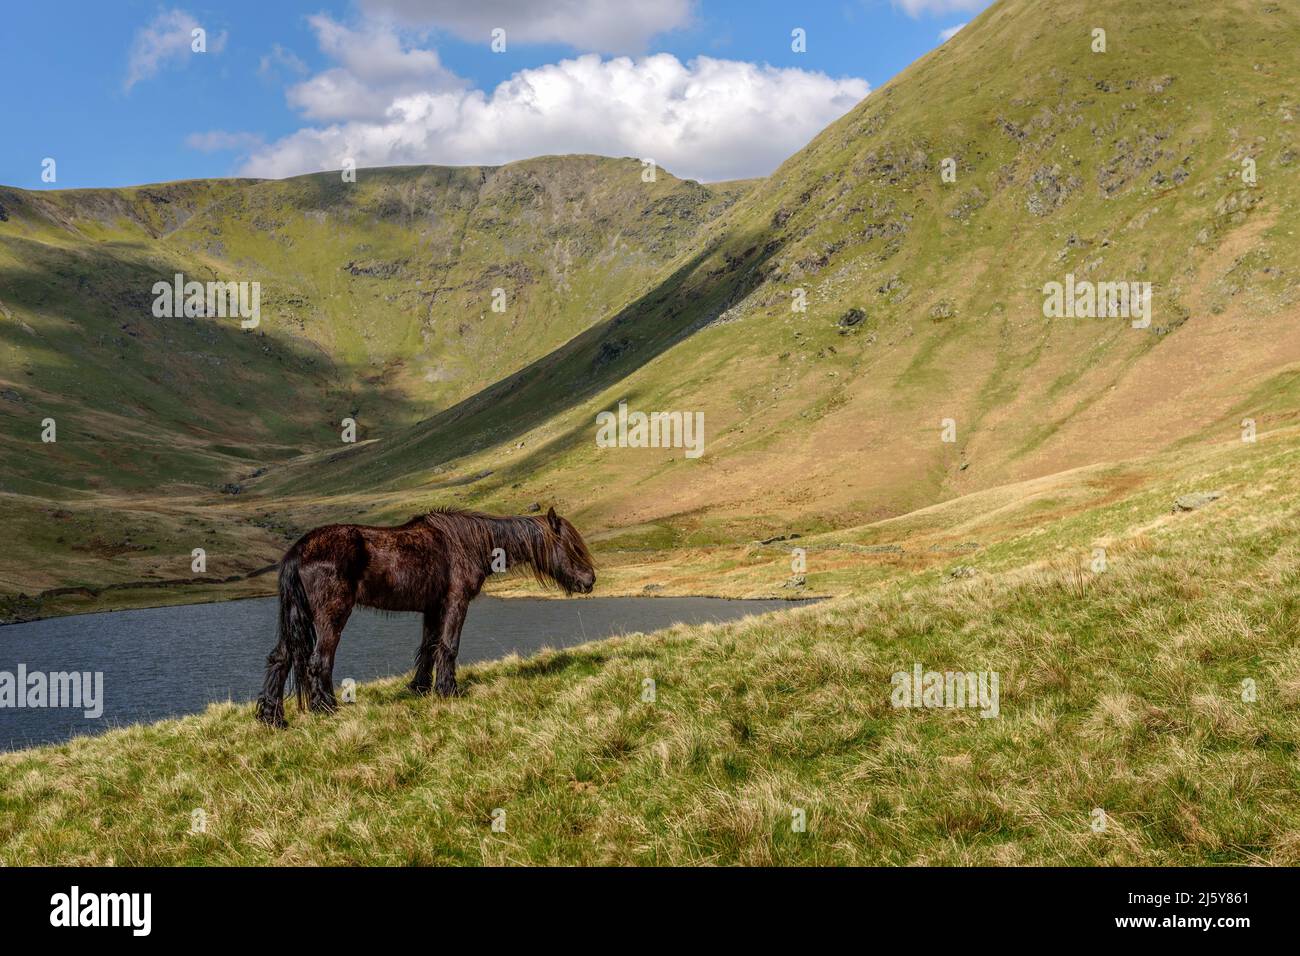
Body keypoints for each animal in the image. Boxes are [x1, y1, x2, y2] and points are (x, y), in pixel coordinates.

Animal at [254, 509, 598, 723]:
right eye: (571, 547)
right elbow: (448, 646)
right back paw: (326, 709)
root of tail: (297, 550)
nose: (590, 581)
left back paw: (272, 717)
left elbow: (429, 649)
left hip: (297, 617)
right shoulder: (455, 602)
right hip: (331, 615)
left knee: (280, 658)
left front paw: (420, 688)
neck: (469, 542)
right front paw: (449, 691)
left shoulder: (433, 608)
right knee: (318, 661)